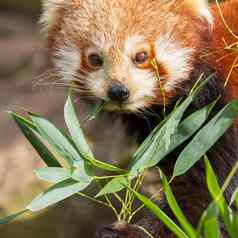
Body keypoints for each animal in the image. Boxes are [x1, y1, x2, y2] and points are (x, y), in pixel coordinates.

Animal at [40, 0, 237, 238]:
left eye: (141, 56)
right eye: (94, 58)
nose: (118, 91)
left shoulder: (217, 120)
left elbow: (208, 196)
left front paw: (133, 231)